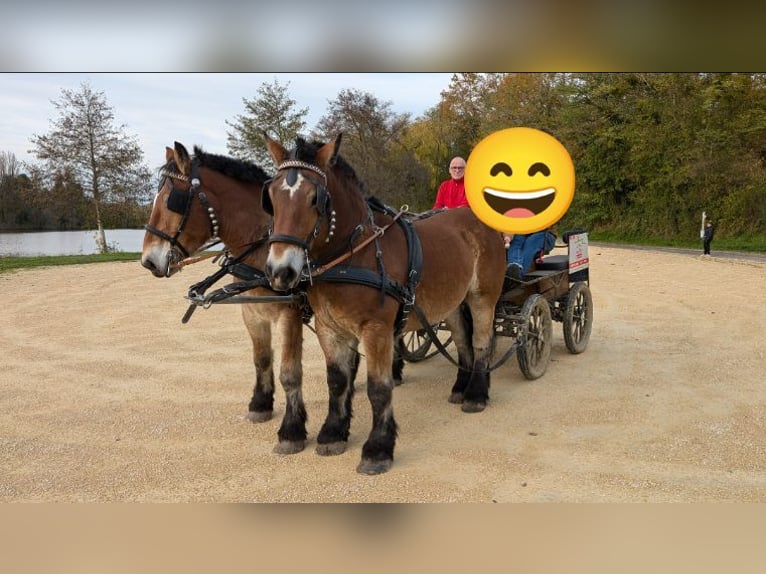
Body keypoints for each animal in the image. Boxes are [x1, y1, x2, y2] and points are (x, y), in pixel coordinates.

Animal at [141, 143, 312, 454]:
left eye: (173, 200)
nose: (148, 261)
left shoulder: (290, 312)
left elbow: (290, 372)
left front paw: (292, 430)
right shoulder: (252, 312)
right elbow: (261, 359)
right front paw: (260, 404)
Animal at [264, 136, 510, 476]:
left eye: (315, 199)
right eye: (271, 198)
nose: (280, 271)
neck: (355, 255)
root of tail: (478, 221)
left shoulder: (377, 329)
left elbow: (378, 388)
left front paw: (378, 448)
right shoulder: (330, 328)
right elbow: (337, 381)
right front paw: (332, 432)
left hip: (482, 297)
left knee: (481, 342)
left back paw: (476, 393)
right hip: (451, 301)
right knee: (462, 341)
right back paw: (461, 386)